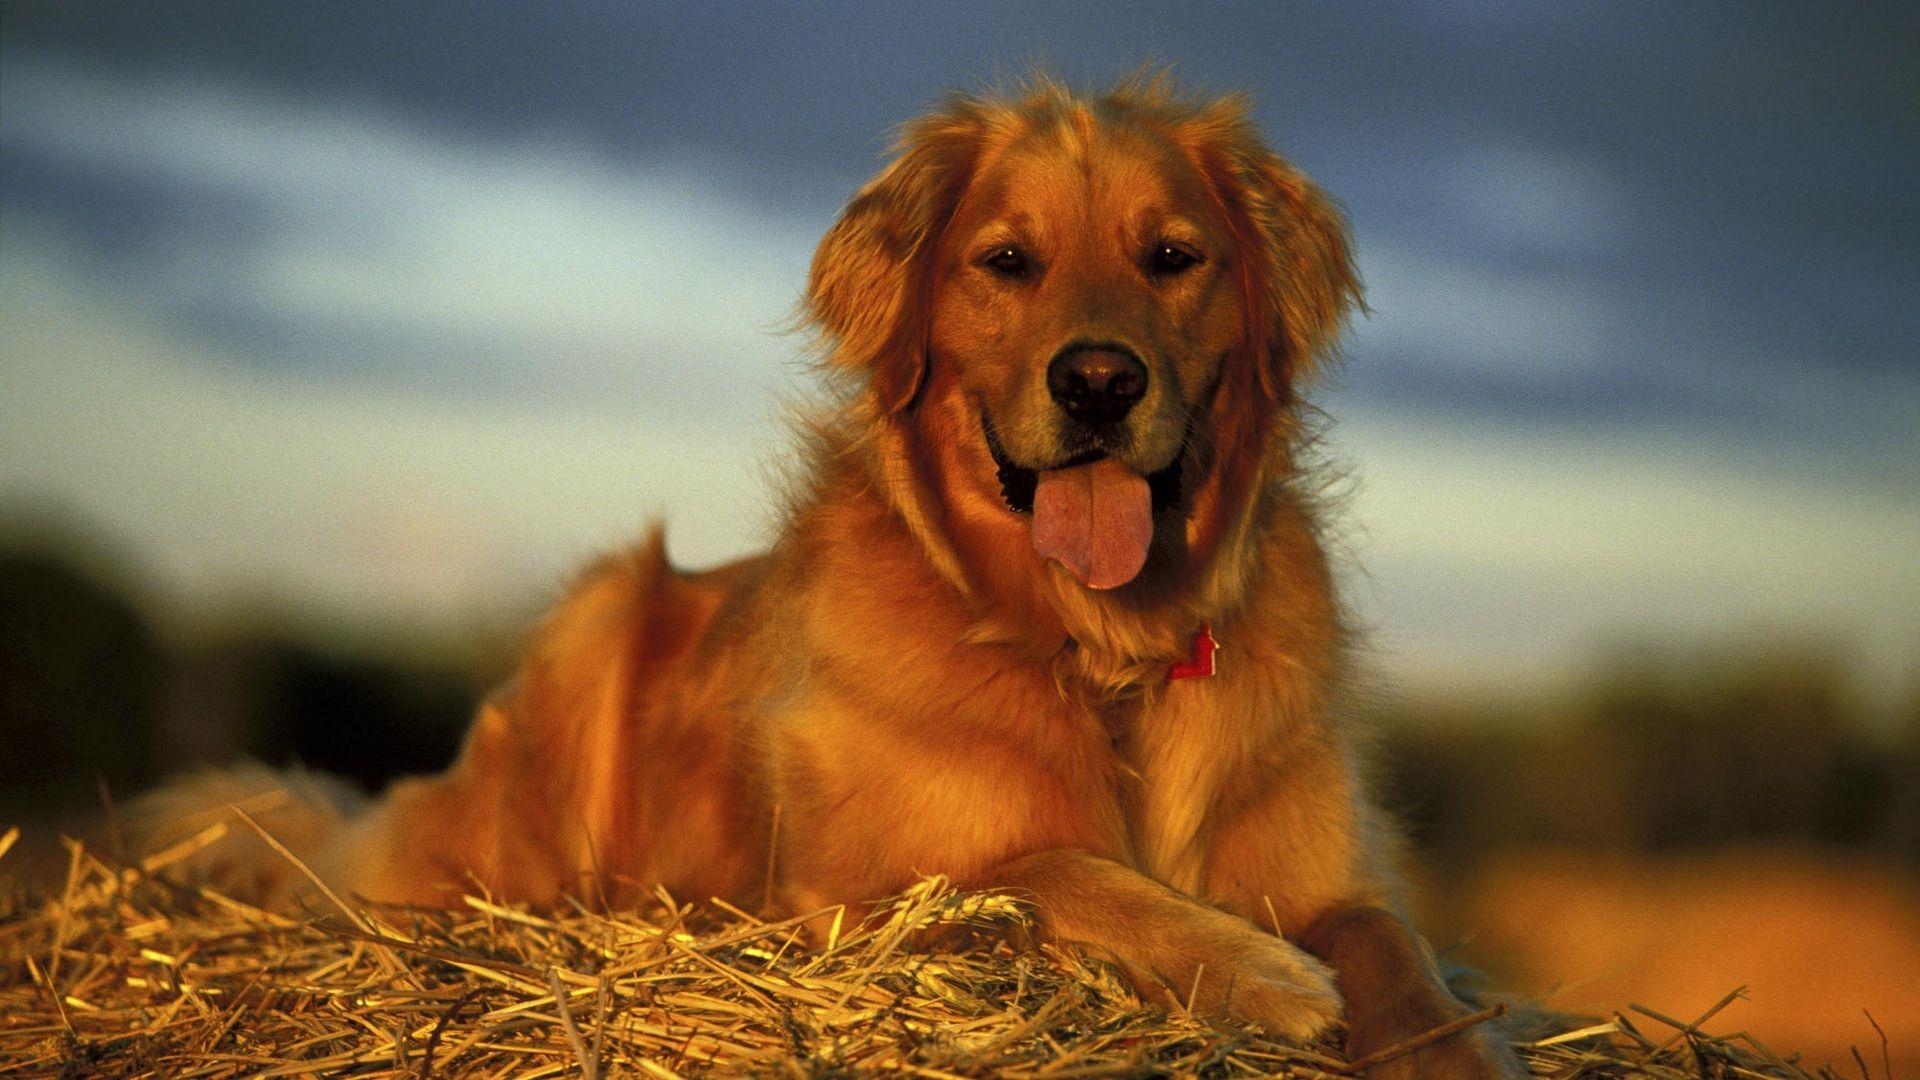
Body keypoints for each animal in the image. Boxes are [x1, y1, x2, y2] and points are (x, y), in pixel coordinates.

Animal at [142, 75, 1520, 1076]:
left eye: (1175, 257)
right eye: (1007, 261)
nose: (1099, 382)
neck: (1097, 648)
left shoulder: (1341, 875)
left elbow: (1409, 967)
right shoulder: (853, 893)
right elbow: (1046, 871)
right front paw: (1267, 976)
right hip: (594, 624)